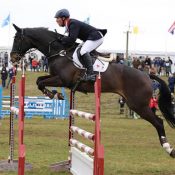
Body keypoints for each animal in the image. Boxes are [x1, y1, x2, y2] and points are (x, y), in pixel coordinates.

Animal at [9, 23, 175, 158]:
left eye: (17, 39)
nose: (12, 58)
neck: (59, 51)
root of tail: (146, 74)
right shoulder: (55, 76)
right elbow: (39, 81)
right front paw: (54, 94)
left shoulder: (63, 80)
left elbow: (41, 83)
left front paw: (54, 94)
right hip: (140, 104)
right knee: (157, 119)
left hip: (138, 105)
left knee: (159, 122)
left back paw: (168, 148)